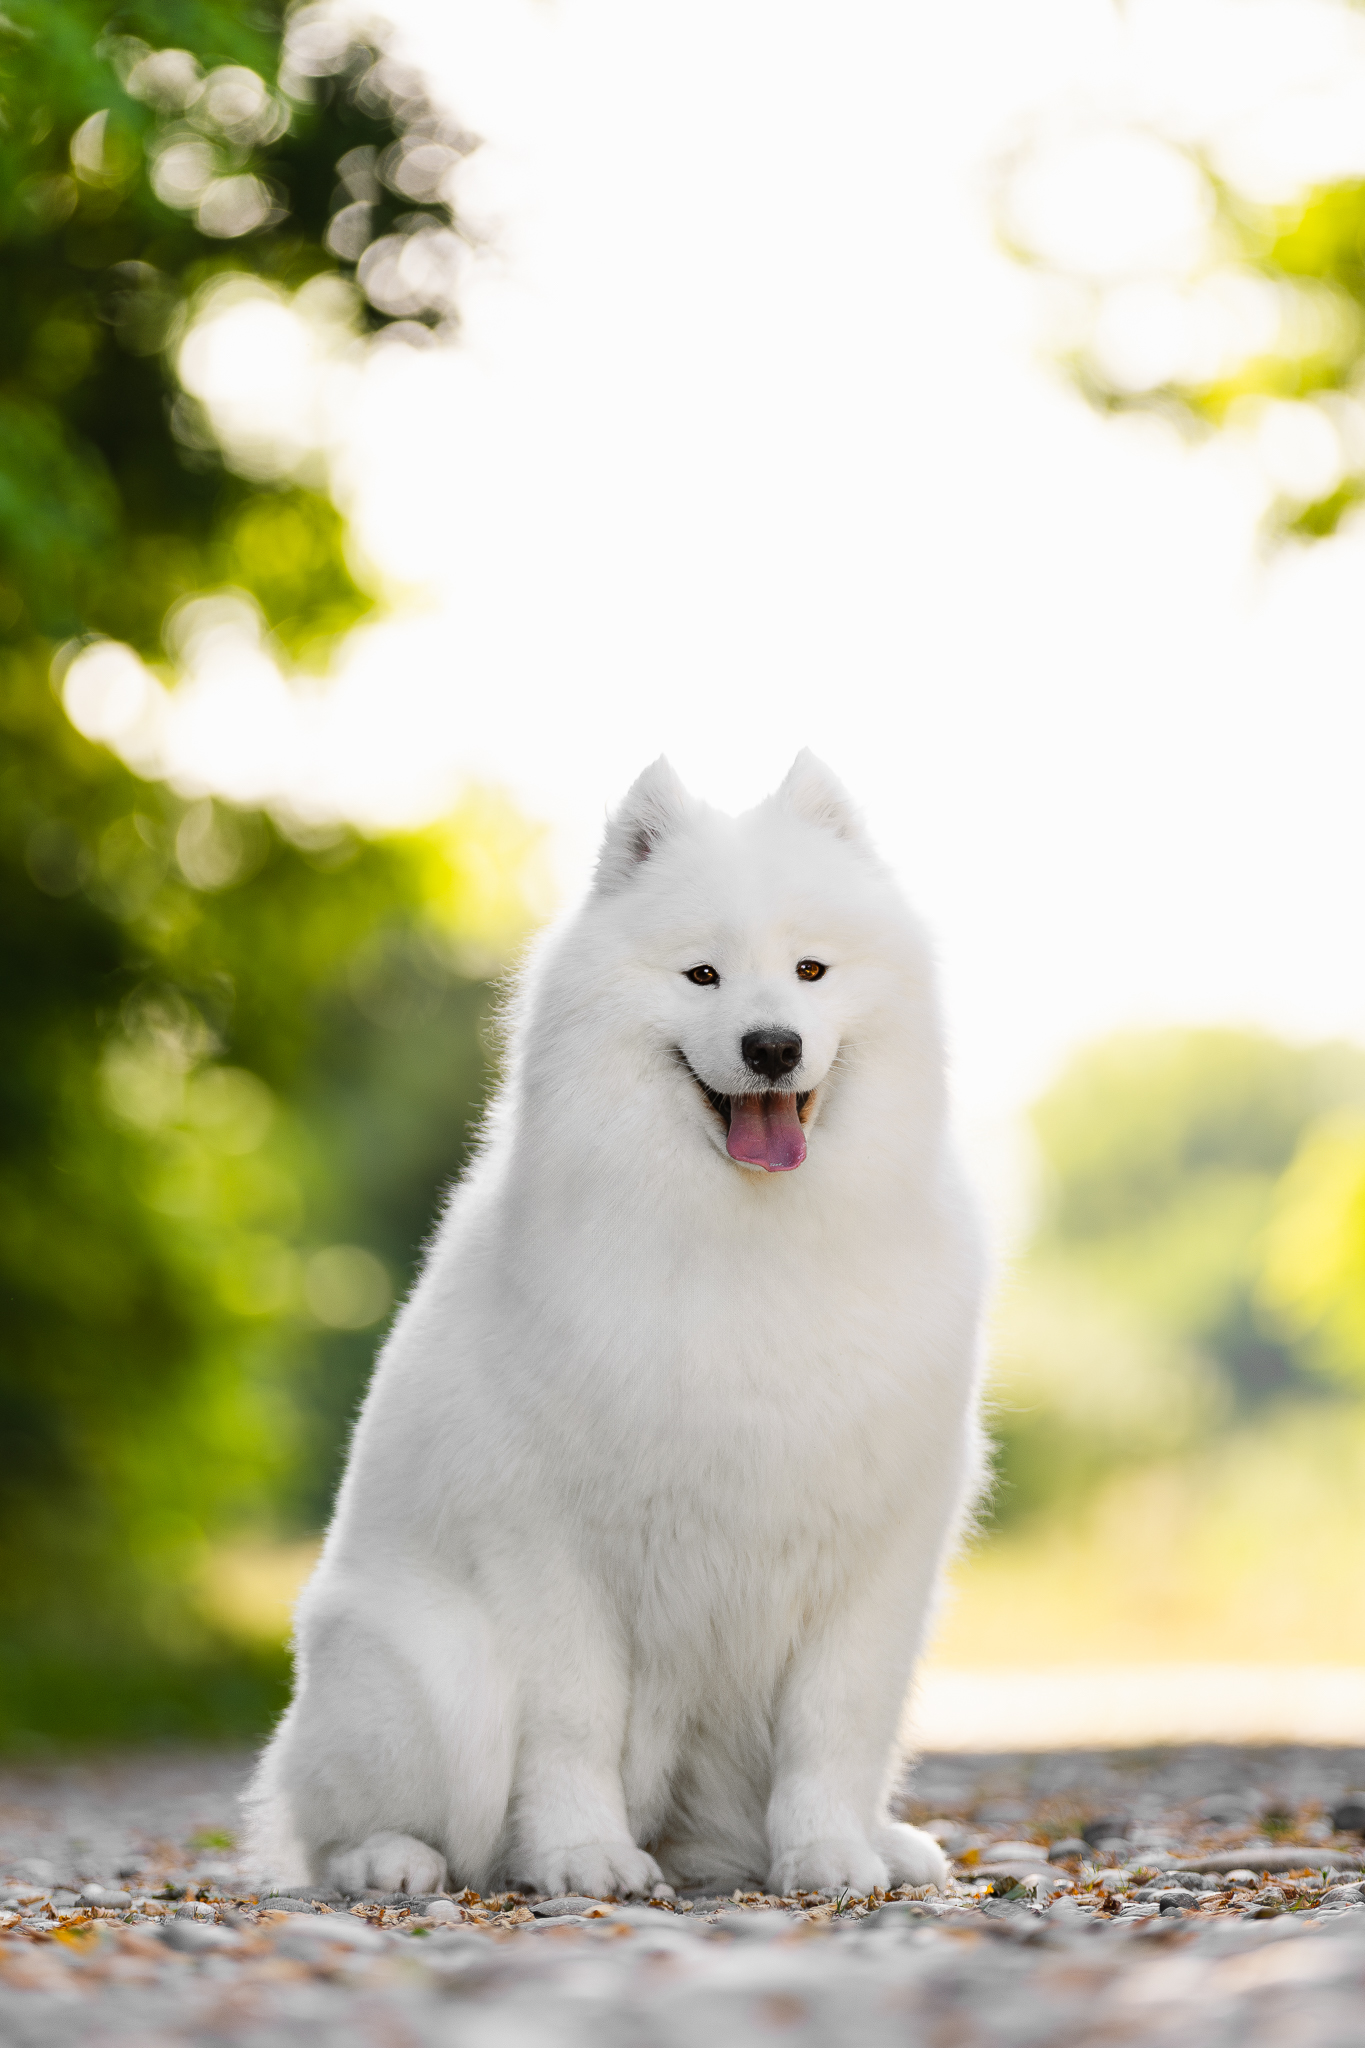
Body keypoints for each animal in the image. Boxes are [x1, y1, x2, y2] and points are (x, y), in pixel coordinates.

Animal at [245, 757, 986, 1900]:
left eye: (811, 970)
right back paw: (396, 1860)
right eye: (702, 976)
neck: (753, 1237)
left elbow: (836, 1721)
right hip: (423, 1679)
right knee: (333, 1823)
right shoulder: (553, 1552)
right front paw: (581, 1854)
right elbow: (571, 1721)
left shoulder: (877, 1555)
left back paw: (885, 1841)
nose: (772, 1044)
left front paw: (828, 1853)